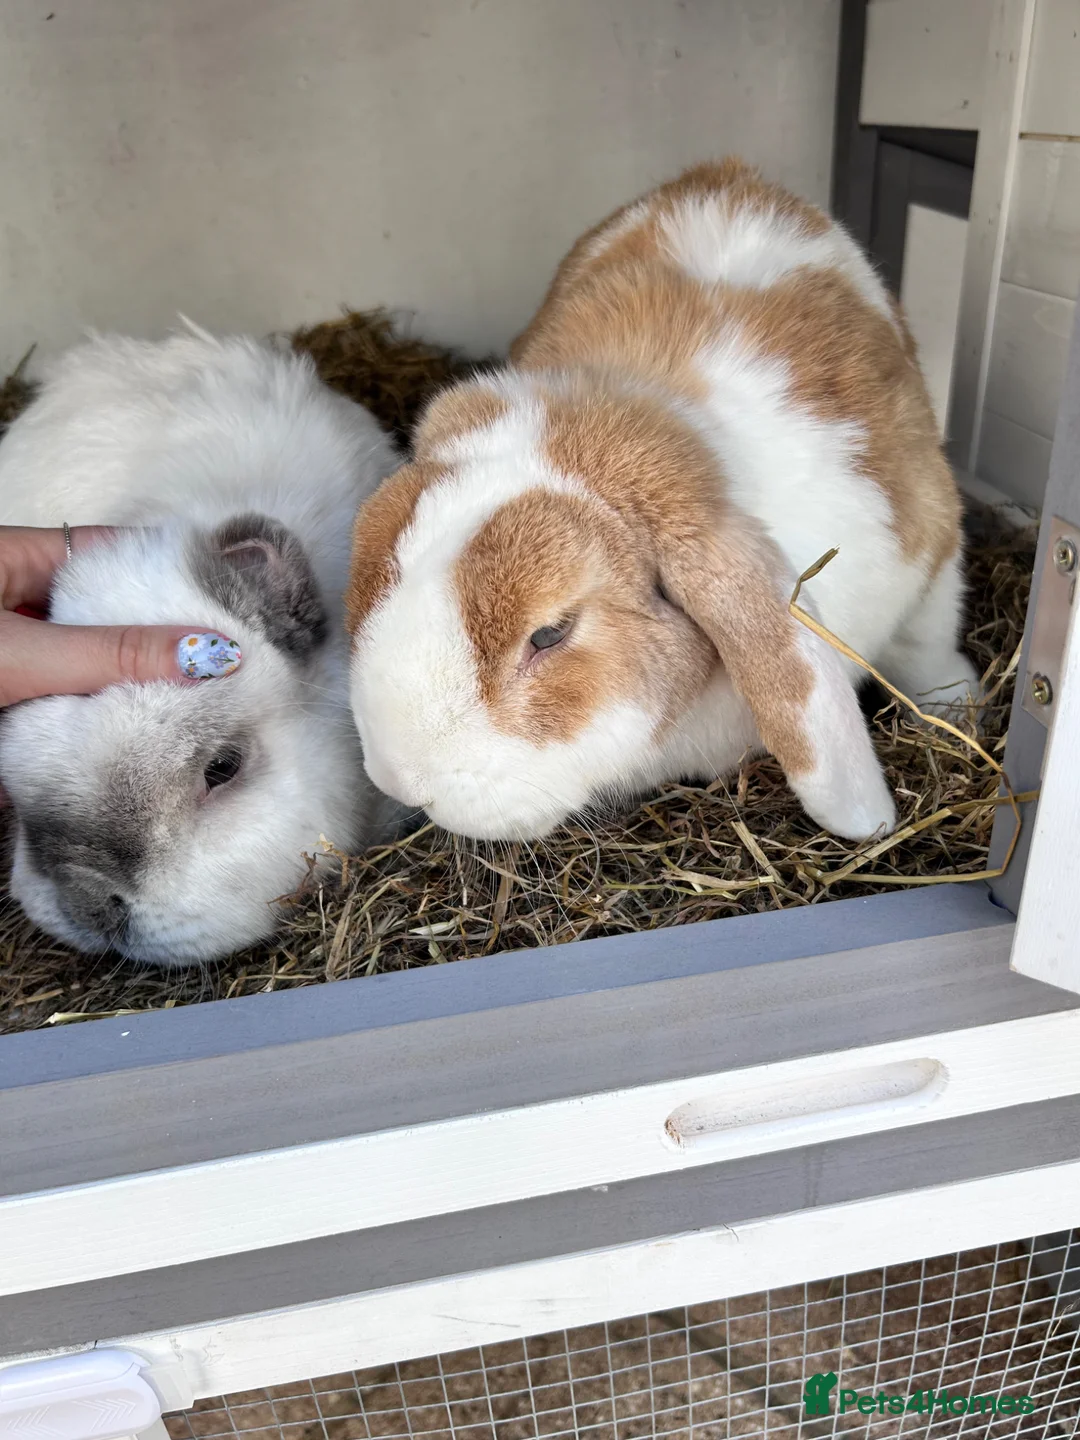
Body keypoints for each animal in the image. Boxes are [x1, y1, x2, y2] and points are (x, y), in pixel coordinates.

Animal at [344, 158, 979, 845]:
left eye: (550, 633)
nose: (397, 778)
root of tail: (727, 175)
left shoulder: (932, 544)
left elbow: (925, 642)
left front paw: (956, 704)